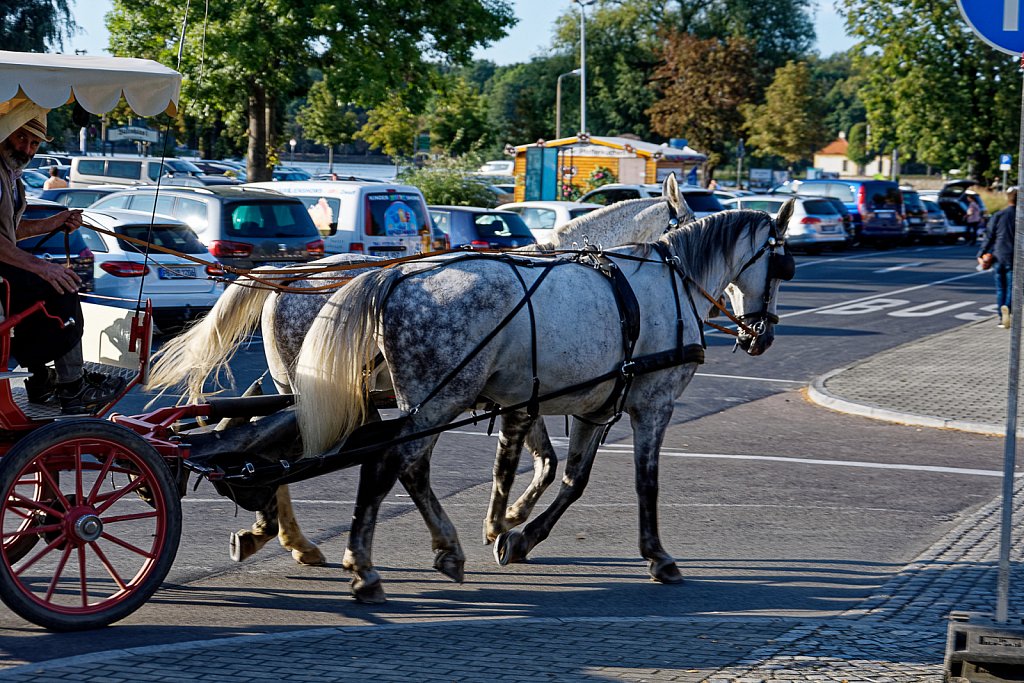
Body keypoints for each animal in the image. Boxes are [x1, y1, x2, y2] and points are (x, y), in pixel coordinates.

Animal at [146, 175, 696, 565]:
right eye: (686, 219)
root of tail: (286, 273)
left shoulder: (521, 395)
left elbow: (542, 461)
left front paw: (510, 521)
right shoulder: (522, 397)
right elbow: (535, 461)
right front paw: (505, 522)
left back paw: (275, 532)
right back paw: (290, 538)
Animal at [292, 204, 794, 602]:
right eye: (781, 266)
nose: (762, 336)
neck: (672, 282)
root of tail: (396, 273)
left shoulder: (596, 407)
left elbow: (573, 480)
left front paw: (520, 537)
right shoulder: (655, 405)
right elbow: (645, 483)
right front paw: (657, 556)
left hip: (431, 404)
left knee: (411, 470)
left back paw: (445, 550)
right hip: (440, 400)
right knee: (388, 466)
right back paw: (363, 568)